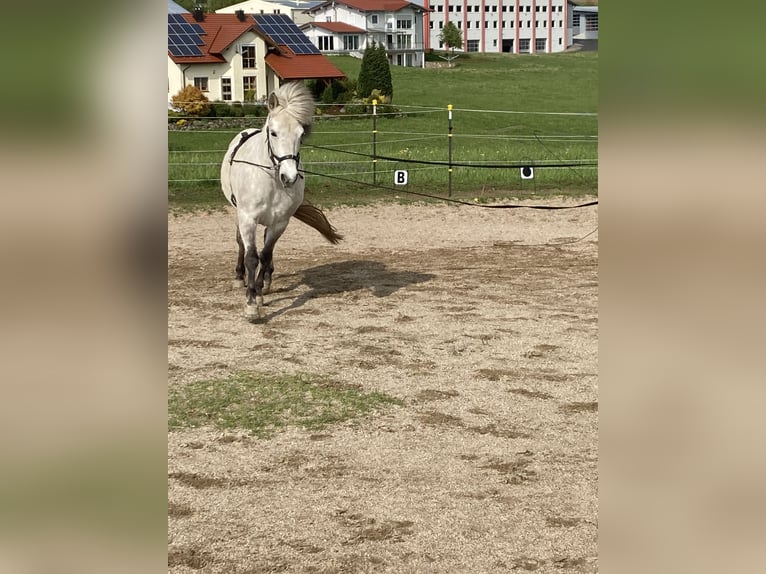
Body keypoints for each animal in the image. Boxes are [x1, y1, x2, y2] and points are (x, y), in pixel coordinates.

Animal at [220, 82, 344, 322]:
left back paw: (267, 280)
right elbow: (251, 257)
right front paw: (251, 305)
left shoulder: (280, 222)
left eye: (301, 134)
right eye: (274, 132)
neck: (271, 179)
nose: (289, 176)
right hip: (238, 212)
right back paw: (239, 278)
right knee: (240, 243)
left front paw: (259, 292)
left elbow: (265, 254)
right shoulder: (247, 218)